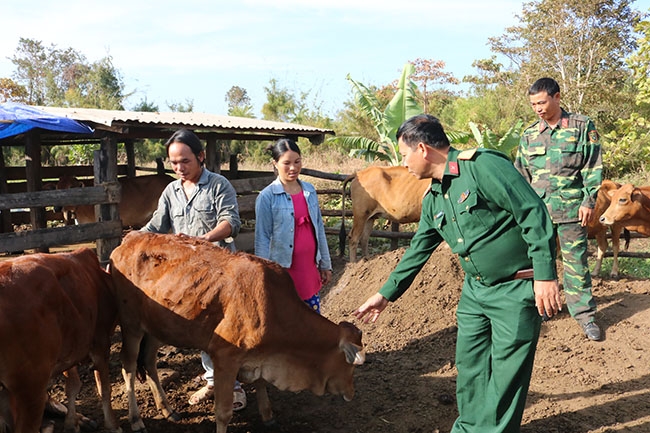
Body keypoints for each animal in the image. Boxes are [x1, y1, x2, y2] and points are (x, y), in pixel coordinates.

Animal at [0, 248, 120, 432]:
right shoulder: (100, 341)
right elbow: (104, 387)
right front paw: (113, 425)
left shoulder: (69, 352)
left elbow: (72, 386)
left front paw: (71, 424)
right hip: (31, 389)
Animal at [110, 231, 364, 432]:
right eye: (350, 364)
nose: (352, 393)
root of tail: (129, 238)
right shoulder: (225, 357)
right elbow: (223, 413)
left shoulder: (256, 358)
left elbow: (261, 383)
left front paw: (267, 415)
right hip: (131, 325)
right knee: (128, 366)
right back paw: (136, 420)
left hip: (156, 328)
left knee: (149, 361)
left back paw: (167, 409)